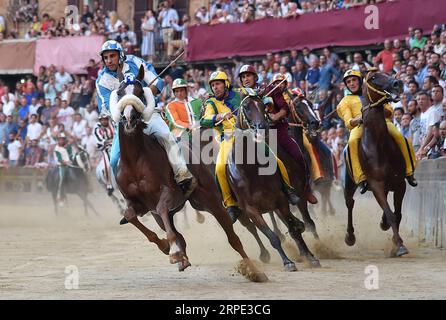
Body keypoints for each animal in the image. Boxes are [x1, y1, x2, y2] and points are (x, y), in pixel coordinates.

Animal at [111, 64, 266, 280]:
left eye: (140, 91)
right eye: (119, 92)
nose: (129, 118)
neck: (135, 159)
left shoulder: (167, 194)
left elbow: (162, 208)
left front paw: (174, 251)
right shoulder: (139, 204)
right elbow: (130, 215)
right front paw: (168, 246)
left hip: (210, 199)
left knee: (234, 237)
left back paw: (255, 271)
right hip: (194, 204)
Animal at [226, 92, 320, 270]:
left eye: (263, 106)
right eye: (246, 107)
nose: (315, 123)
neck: (251, 170)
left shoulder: (285, 198)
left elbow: (299, 226)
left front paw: (311, 254)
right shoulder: (251, 209)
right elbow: (273, 236)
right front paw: (288, 261)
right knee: (252, 229)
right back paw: (264, 254)